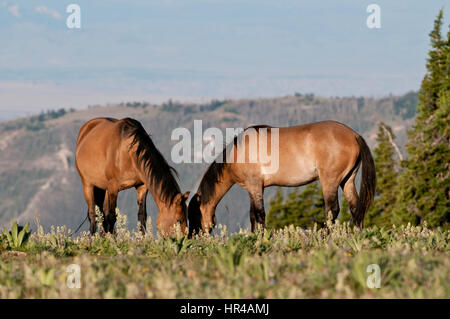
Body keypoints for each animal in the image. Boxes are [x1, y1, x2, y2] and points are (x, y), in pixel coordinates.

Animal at [187, 121, 376, 236]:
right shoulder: (255, 188)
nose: (192, 238)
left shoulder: (255, 185)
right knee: (356, 207)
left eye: (194, 215)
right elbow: (253, 216)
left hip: (330, 181)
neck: (239, 151)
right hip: (347, 180)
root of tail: (354, 135)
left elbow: (259, 215)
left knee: (332, 210)